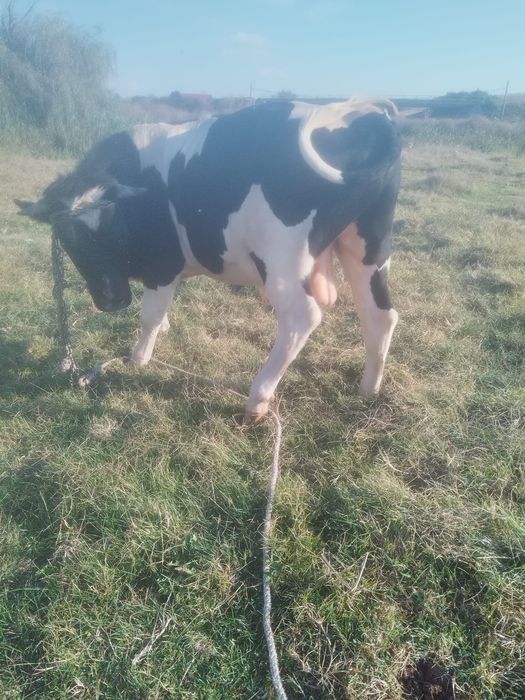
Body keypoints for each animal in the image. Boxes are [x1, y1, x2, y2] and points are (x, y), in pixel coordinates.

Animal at [16, 98, 401, 420]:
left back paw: (258, 398)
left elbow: (149, 316)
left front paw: (139, 358)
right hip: (368, 247)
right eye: (68, 237)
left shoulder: (162, 264)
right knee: (380, 314)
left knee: (301, 318)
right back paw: (369, 388)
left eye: (116, 226)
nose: (113, 300)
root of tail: (362, 114)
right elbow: (160, 312)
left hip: (283, 260)